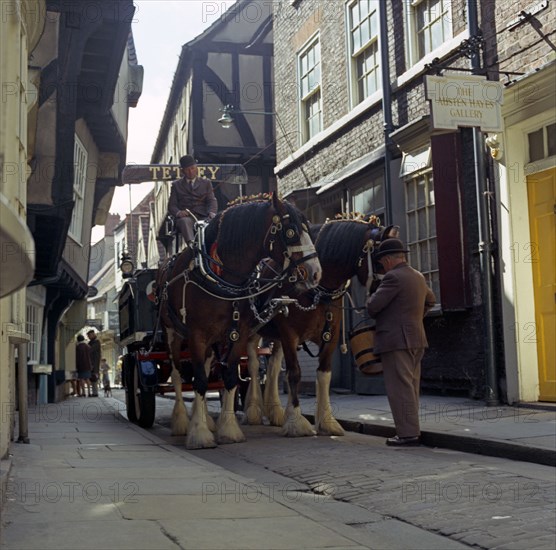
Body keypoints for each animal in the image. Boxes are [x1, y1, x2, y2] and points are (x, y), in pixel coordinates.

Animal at [156, 193, 322, 448]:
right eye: (291, 231)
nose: (315, 272)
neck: (222, 276)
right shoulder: (196, 334)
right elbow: (199, 381)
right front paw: (199, 433)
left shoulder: (239, 333)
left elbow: (229, 377)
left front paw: (228, 429)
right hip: (172, 333)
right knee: (176, 375)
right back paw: (182, 422)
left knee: (206, 368)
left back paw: (205, 418)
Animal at [245, 218, 398, 438]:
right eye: (380, 260)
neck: (317, 290)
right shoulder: (290, 334)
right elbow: (294, 373)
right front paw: (296, 422)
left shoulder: (330, 336)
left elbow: (324, 374)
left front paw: (326, 422)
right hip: (253, 330)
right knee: (253, 364)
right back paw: (253, 411)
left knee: (272, 367)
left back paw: (275, 411)